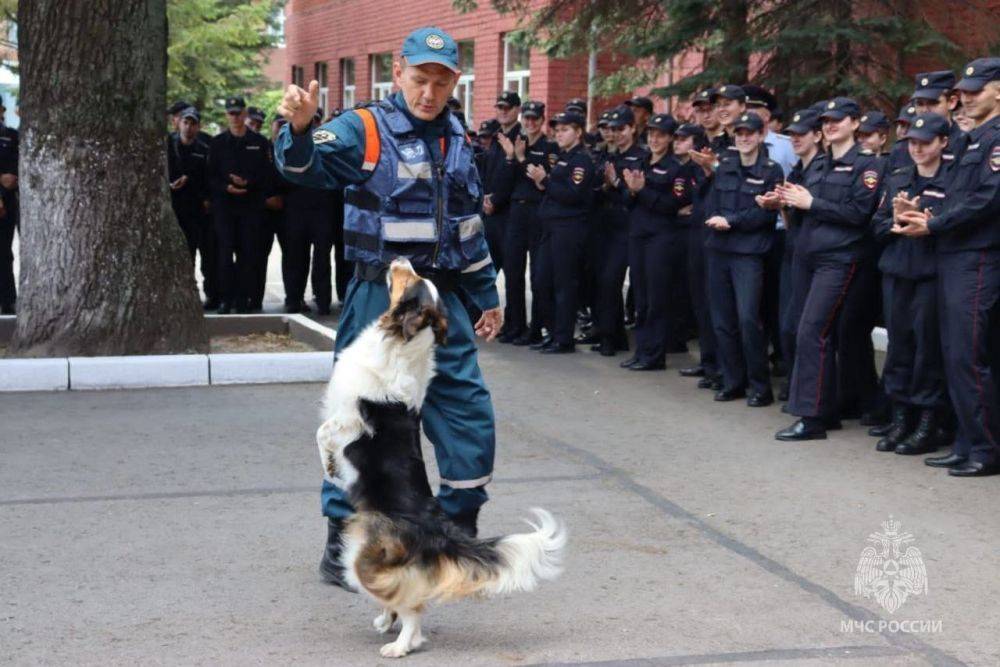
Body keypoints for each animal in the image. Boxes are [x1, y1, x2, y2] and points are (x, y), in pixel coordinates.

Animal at [320, 258, 572, 656]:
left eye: (411, 281)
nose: (402, 259)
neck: (401, 344)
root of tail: (440, 531)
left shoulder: (344, 420)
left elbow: (323, 436)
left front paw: (328, 466)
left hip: (360, 559)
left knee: (412, 607)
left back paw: (400, 645)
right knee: (409, 598)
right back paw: (388, 624)